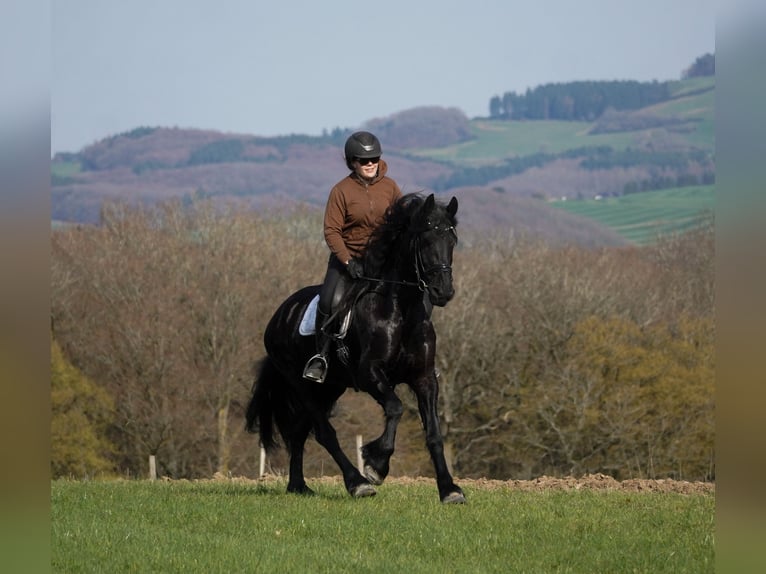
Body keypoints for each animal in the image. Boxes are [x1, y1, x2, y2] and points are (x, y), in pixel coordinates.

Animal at [245, 193, 465, 504]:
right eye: (425, 240)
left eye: (452, 240)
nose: (443, 292)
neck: (401, 310)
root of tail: (280, 314)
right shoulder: (369, 374)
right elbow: (395, 408)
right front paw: (376, 464)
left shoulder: (424, 378)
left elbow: (433, 432)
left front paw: (449, 489)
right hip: (301, 384)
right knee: (324, 432)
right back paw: (357, 483)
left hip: (329, 388)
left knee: (300, 431)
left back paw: (298, 485)